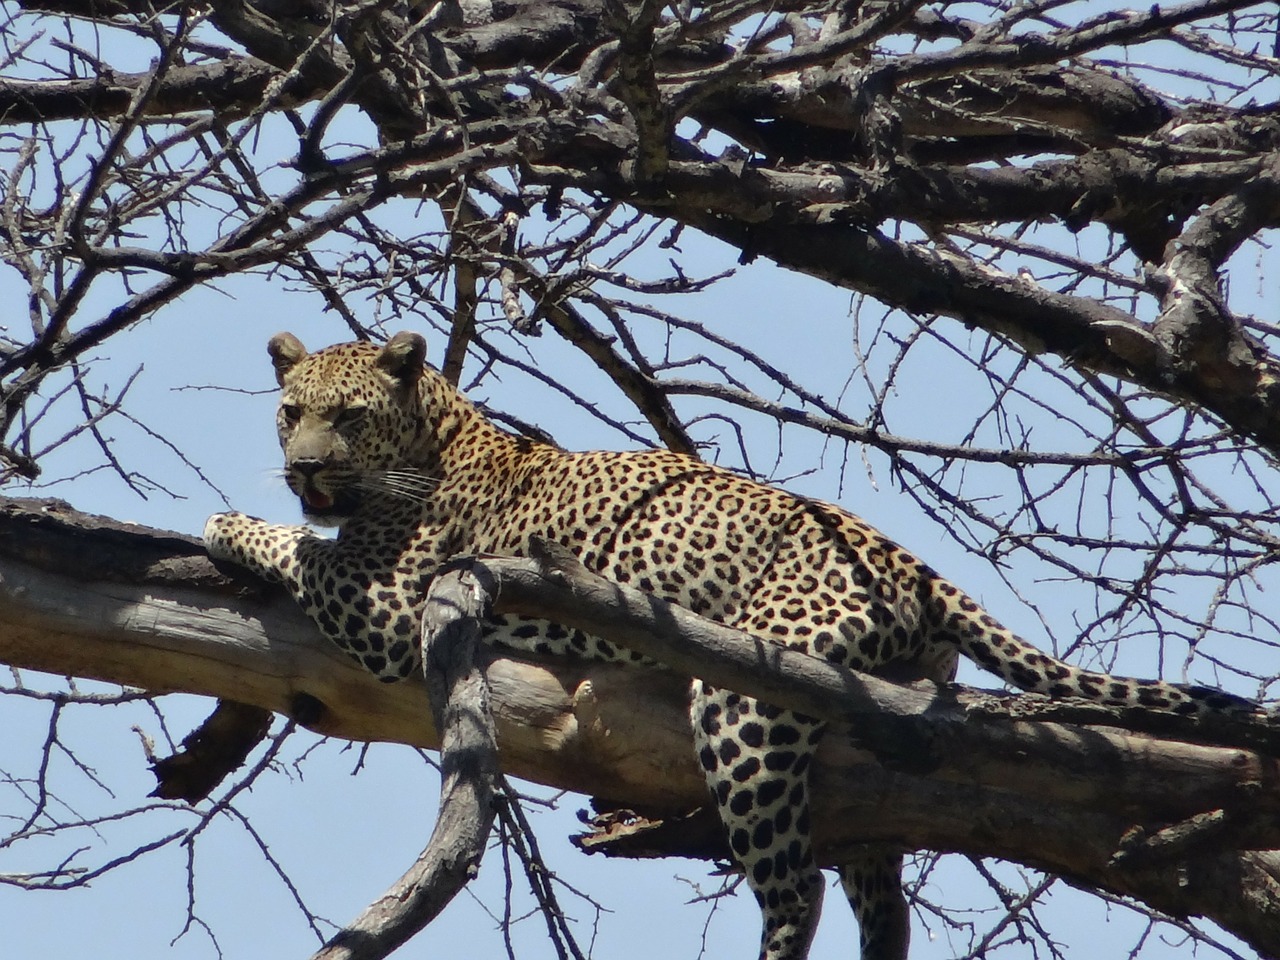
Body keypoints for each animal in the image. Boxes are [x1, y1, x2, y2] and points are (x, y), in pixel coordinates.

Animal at [202, 332, 1259, 960]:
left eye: (346, 416)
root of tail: (917, 568)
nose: (303, 468)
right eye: (291, 411)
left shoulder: (392, 605)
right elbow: (305, 537)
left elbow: (299, 545)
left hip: (747, 696)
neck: (435, 434)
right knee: (881, 885)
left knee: (798, 890)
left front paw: (228, 525)